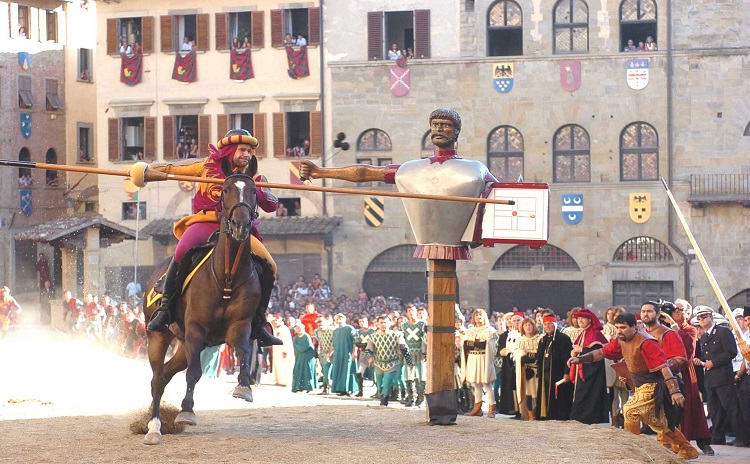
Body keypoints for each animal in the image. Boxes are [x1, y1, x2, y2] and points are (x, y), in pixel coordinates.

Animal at [142, 171, 262, 446]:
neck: (227, 276)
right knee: (156, 378)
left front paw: (244, 386)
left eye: (253, 191)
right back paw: (153, 427)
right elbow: (195, 372)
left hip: (184, 345)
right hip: (158, 336)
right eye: (225, 190)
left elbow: (244, 350)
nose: (241, 225)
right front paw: (187, 410)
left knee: (164, 375)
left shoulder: (240, 324)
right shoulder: (196, 329)